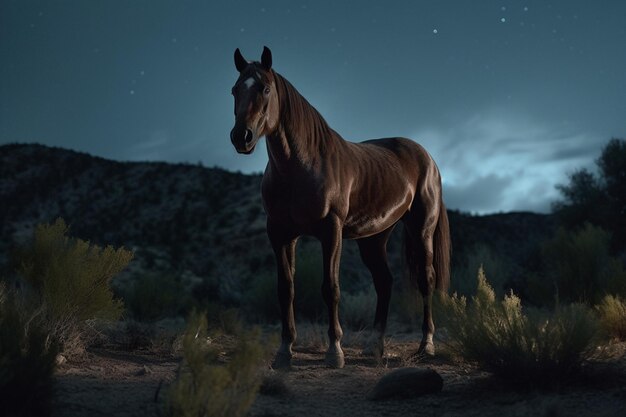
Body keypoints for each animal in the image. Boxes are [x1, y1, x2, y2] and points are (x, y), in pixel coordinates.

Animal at [229, 46, 448, 368]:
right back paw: (374, 347)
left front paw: (335, 352)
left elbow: (330, 288)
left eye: (265, 88)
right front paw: (284, 352)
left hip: (421, 230)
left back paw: (426, 345)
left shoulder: (330, 230)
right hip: (374, 238)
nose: (240, 137)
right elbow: (286, 289)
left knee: (426, 280)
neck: (301, 166)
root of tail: (427, 157)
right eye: (235, 90)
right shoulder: (280, 234)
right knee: (384, 282)